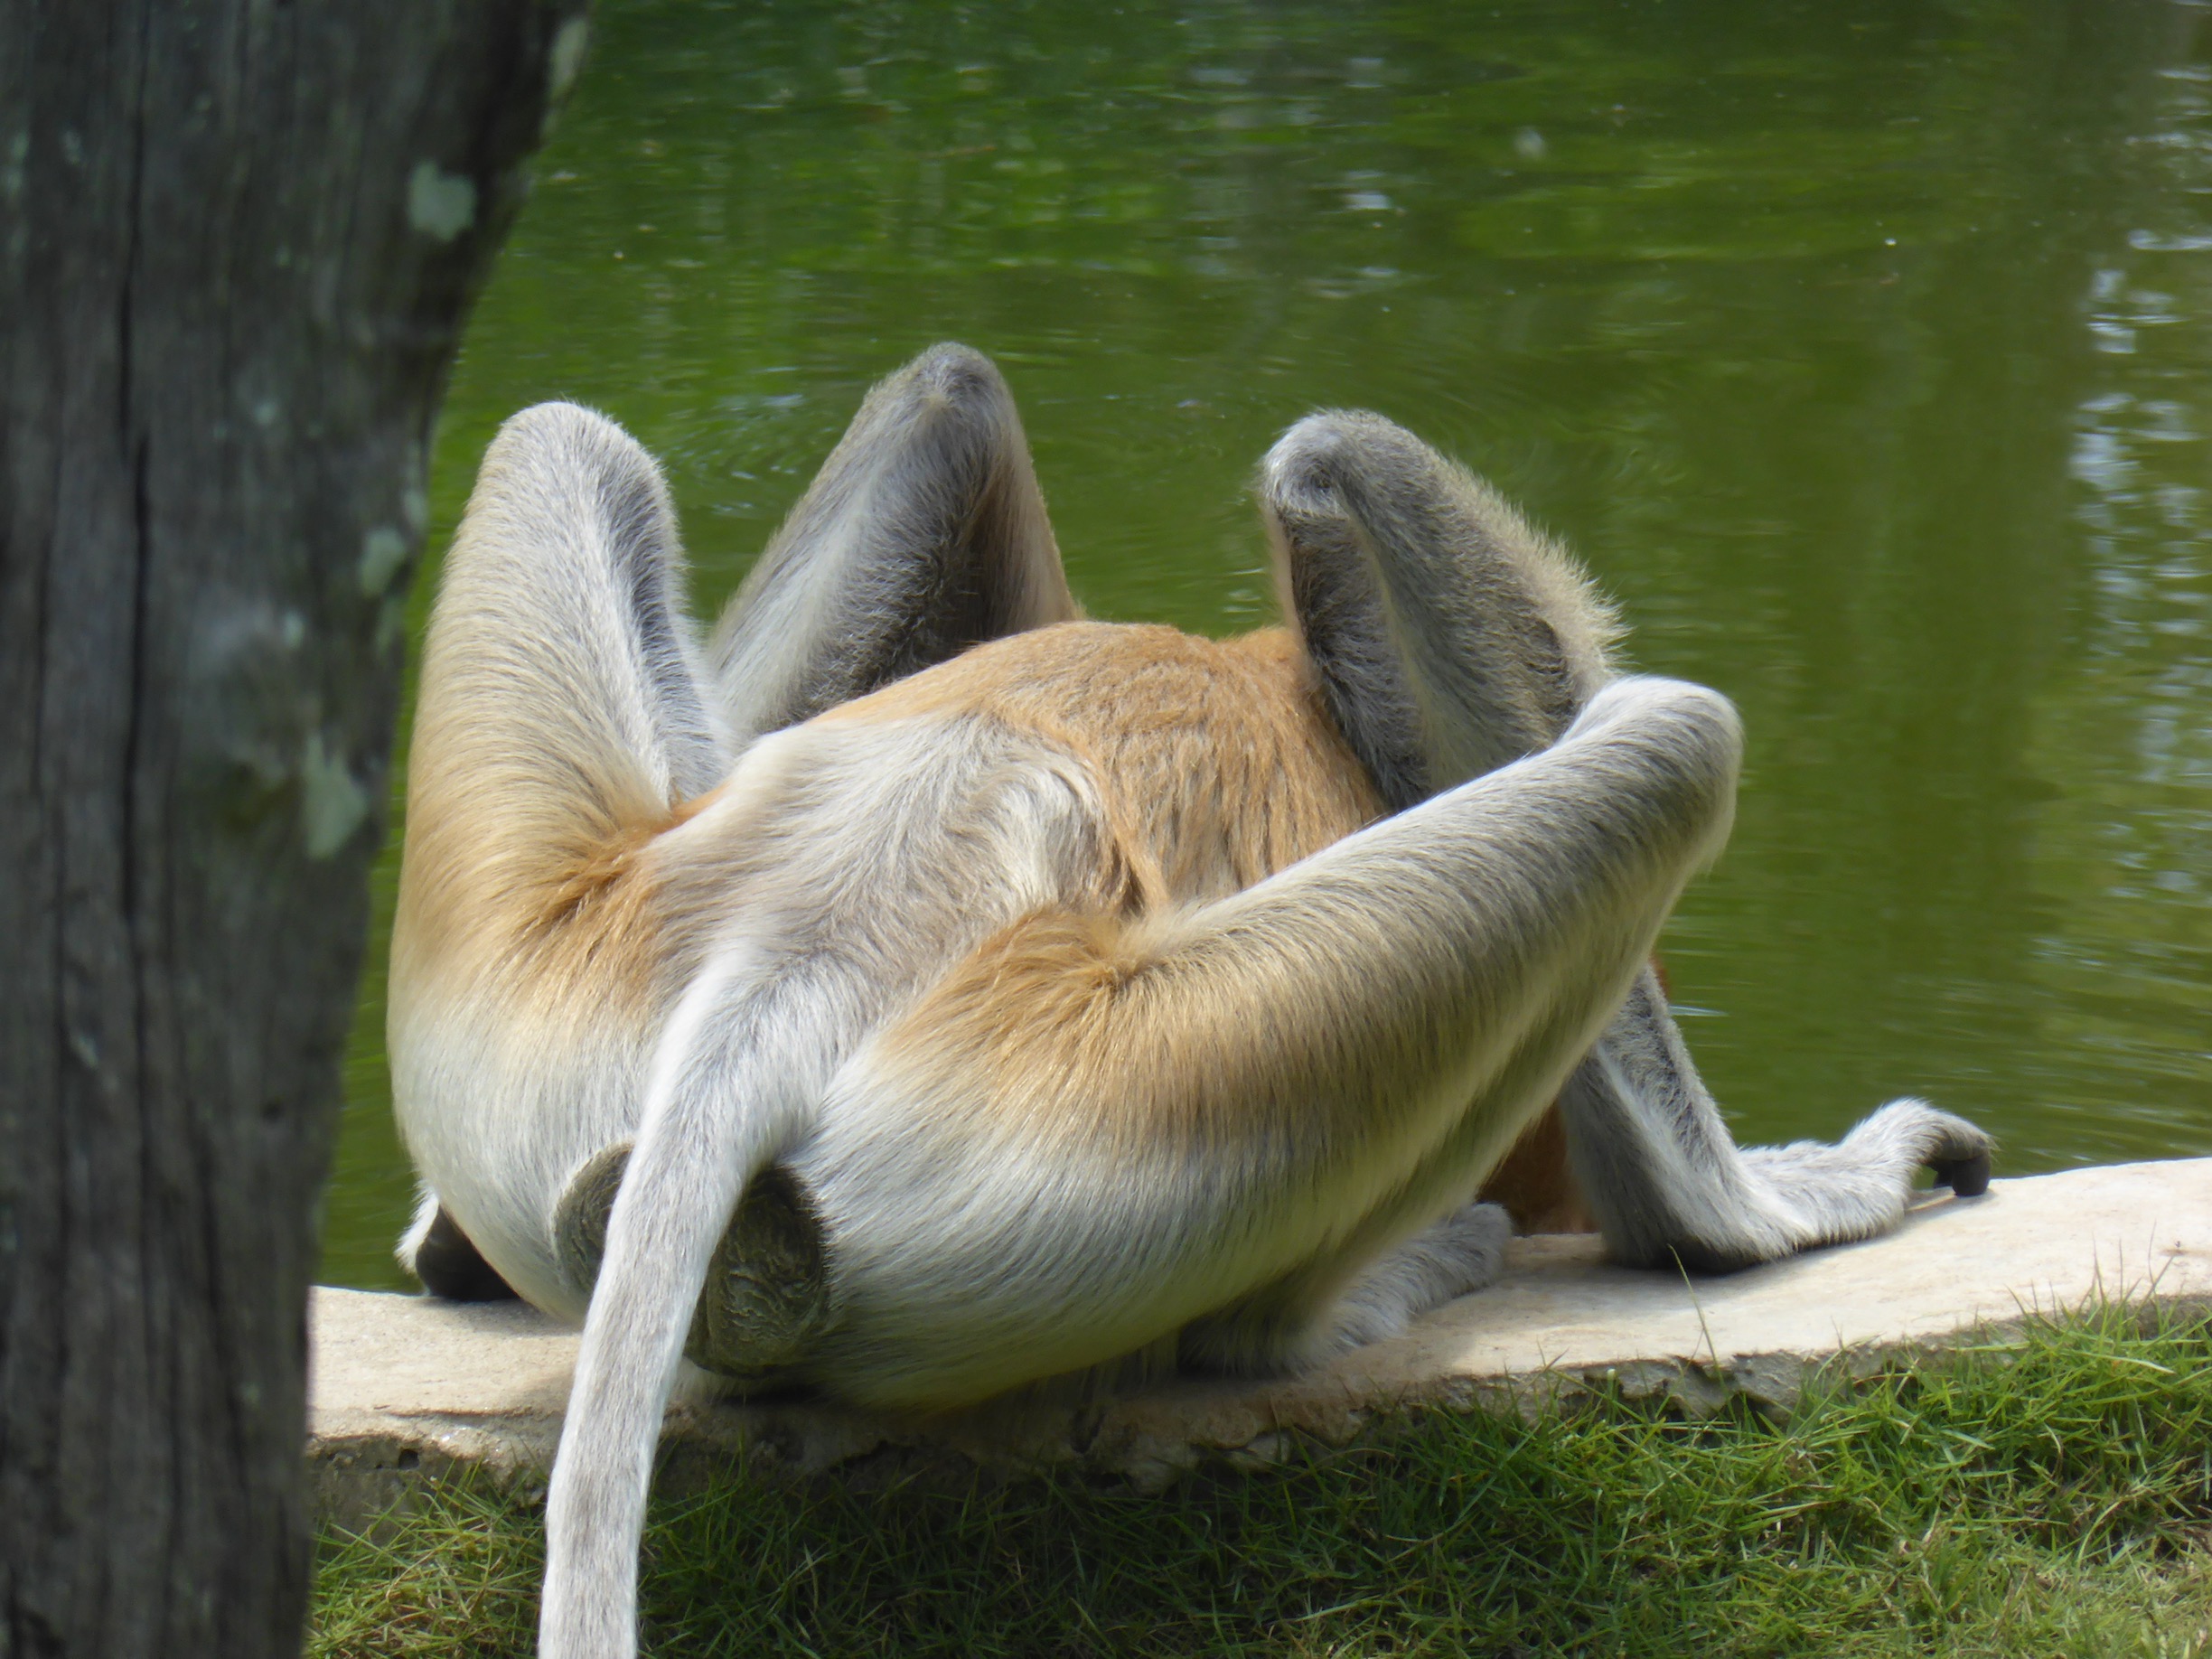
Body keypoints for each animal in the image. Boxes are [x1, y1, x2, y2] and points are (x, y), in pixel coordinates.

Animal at [384, 344, 1992, 1658]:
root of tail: (815, 940)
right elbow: (1339, 473)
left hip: (526, 977)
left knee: (603, 432)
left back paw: (455, 1246)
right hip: (1124, 1121)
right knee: (1672, 740)